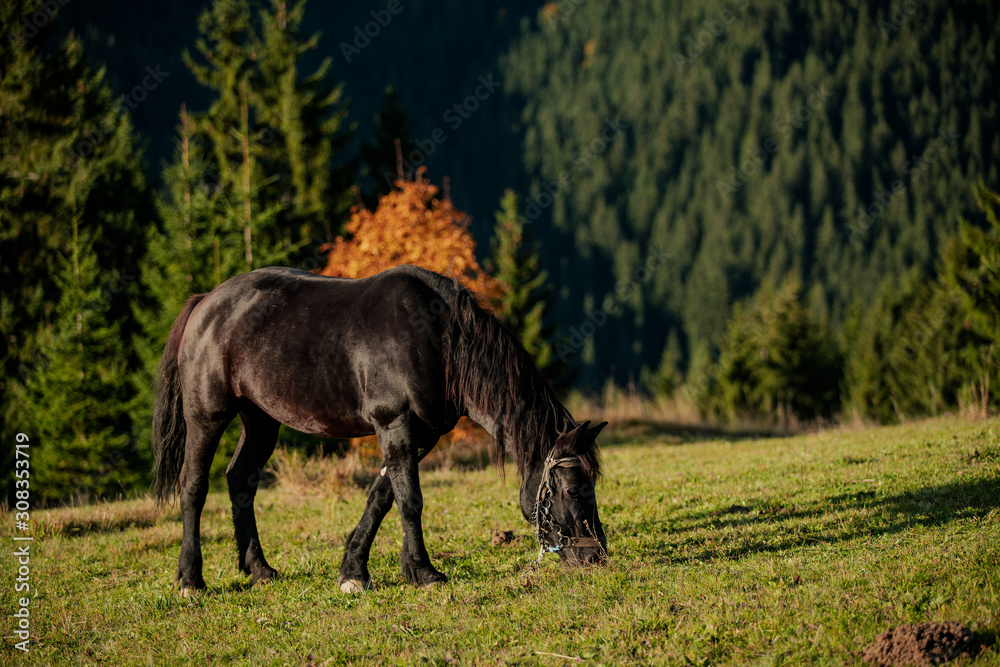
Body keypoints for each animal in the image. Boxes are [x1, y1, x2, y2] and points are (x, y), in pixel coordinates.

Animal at [154, 264, 608, 592]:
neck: (439, 341)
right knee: (193, 486)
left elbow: (382, 498)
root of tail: (206, 303)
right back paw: (191, 579)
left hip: (261, 420)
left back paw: (260, 569)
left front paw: (355, 571)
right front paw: (424, 572)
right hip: (206, 416)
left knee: (240, 480)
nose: (597, 557)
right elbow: (410, 502)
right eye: (571, 490)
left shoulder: (419, 437)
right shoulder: (396, 426)